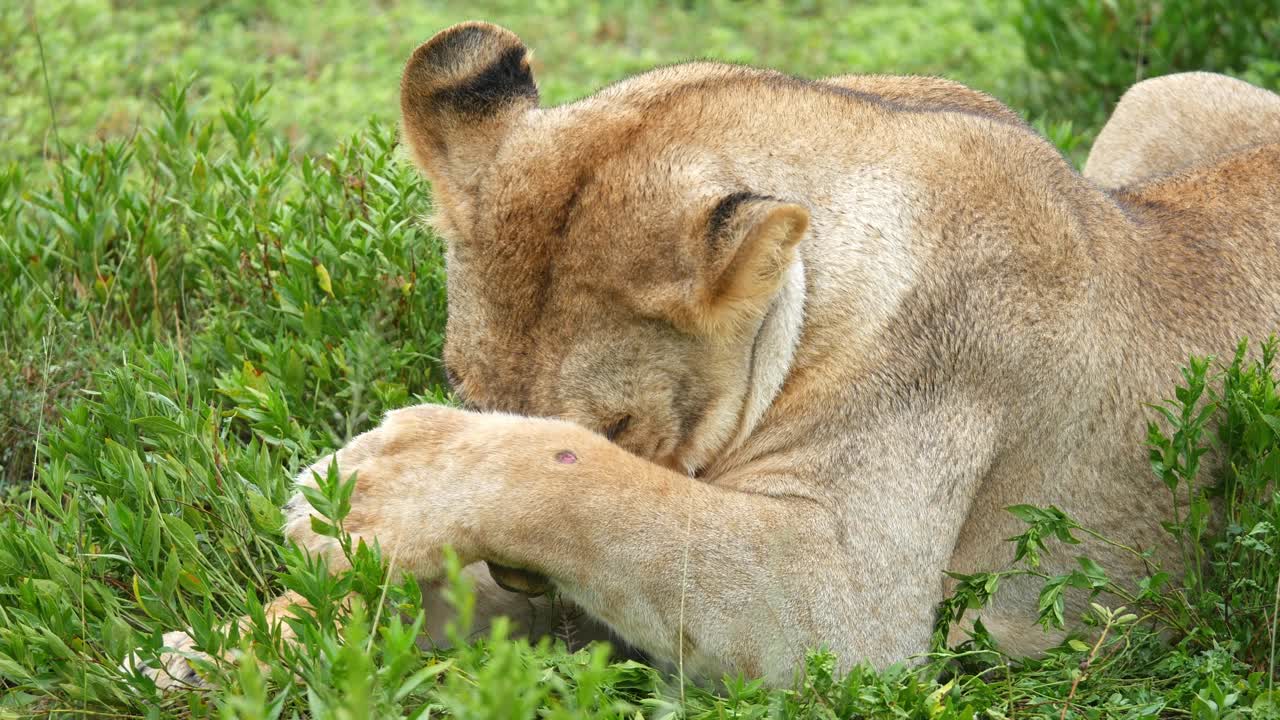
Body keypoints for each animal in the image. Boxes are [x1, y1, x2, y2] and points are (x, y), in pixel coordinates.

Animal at [134, 23, 1280, 689]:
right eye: (464, 382)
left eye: (621, 424)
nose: (516, 575)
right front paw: (218, 649)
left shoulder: (847, 611)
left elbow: (614, 498)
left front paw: (370, 482)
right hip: (1170, 92)